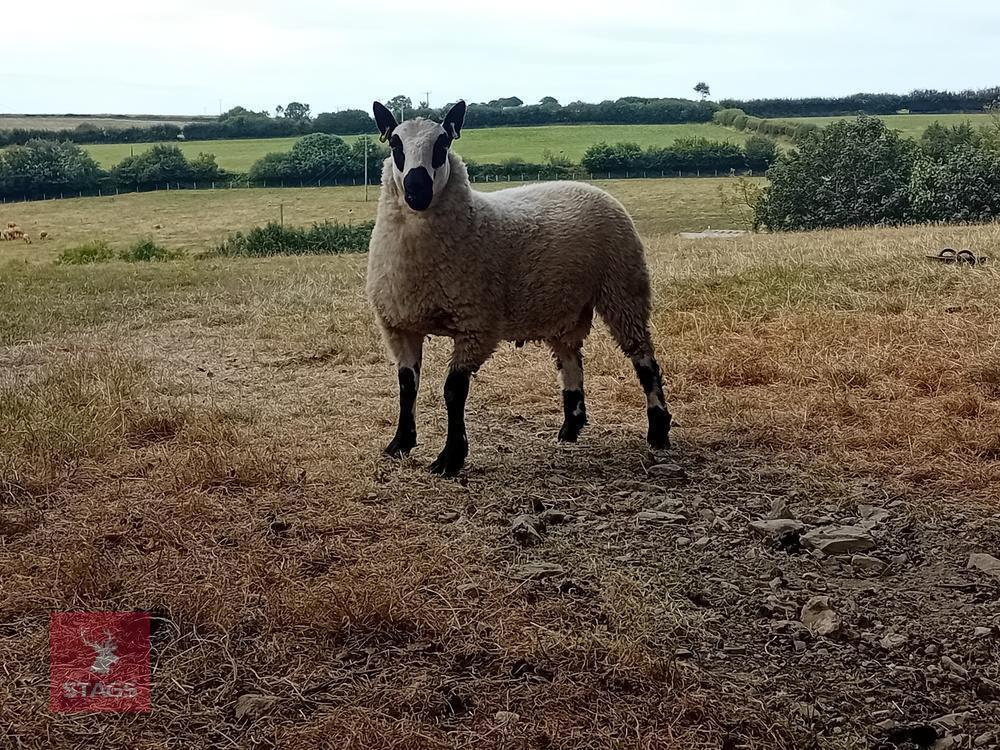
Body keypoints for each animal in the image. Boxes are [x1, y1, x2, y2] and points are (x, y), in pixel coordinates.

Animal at [366, 100, 671, 476]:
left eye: (443, 144)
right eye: (395, 144)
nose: (417, 190)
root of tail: (589, 187)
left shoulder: (476, 325)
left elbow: (454, 391)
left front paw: (450, 458)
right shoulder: (399, 325)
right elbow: (407, 386)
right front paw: (400, 444)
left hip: (623, 288)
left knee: (644, 359)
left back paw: (658, 431)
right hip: (565, 306)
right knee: (570, 360)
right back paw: (570, 428)